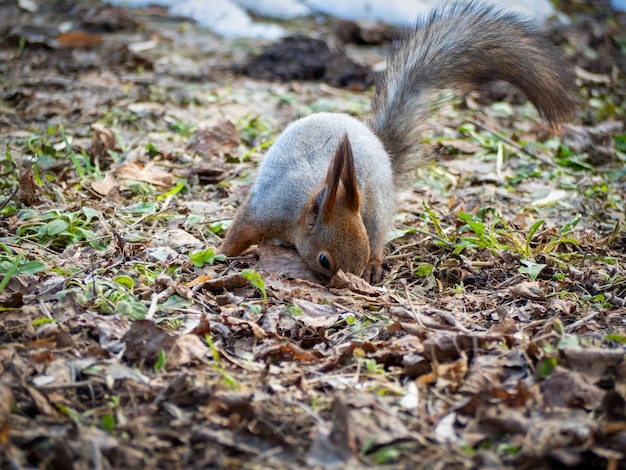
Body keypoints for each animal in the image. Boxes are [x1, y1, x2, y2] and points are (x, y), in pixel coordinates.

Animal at [216, 0, 576, 282]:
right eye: (324, 260)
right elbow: (238, 234)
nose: (348, 283)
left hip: (376, 210)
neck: (305, 203)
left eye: (358, 253)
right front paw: (220, 254)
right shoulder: (265, 211)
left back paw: (378, 263)